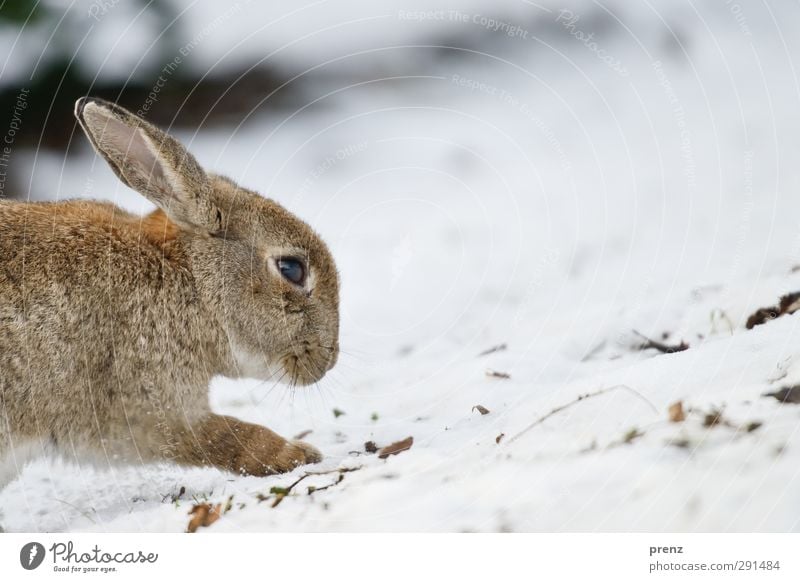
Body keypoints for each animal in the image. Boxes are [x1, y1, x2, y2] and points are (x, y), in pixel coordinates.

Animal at [0, 96, 340, 506]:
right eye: (292, 269)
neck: (190, 280)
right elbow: (223, 435)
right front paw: (297, 454)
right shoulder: (145, 402)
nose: (329, 359)